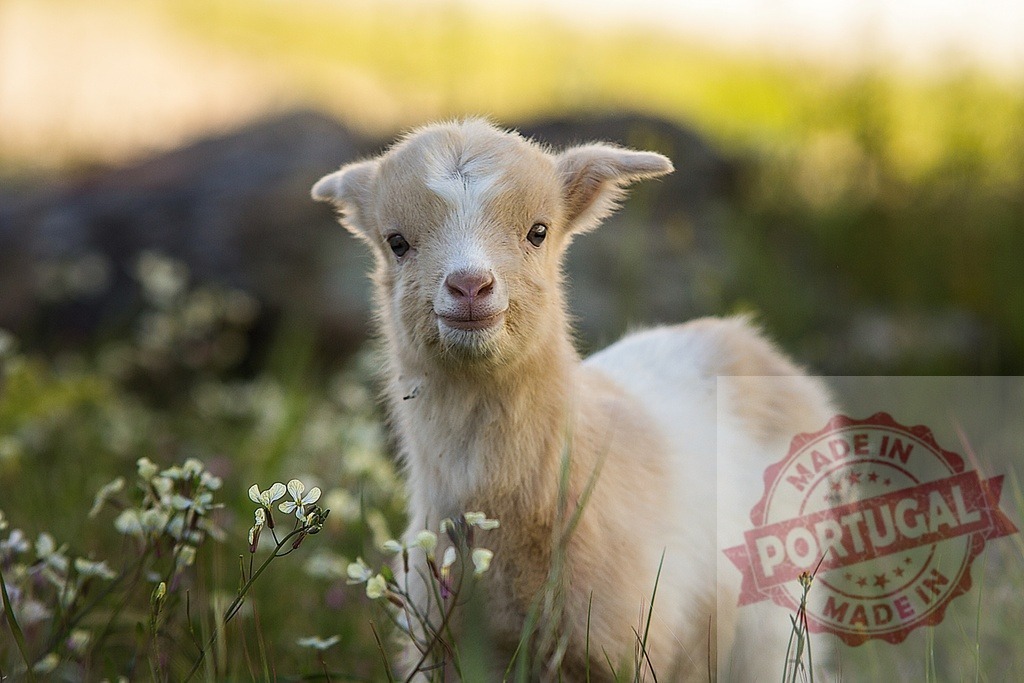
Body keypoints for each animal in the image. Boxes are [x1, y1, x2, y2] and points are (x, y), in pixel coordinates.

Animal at [313, 119, 833, 680]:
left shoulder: (620, 647)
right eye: (397, 242)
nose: (470, 286)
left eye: (538, 232)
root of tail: (743, 337)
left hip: (775, 618)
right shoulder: (443, 648)